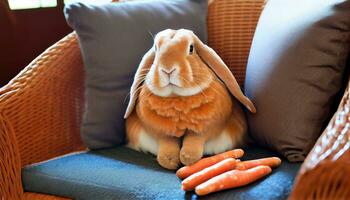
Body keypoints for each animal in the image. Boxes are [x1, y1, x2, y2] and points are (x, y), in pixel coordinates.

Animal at [124, 28, 256, 170]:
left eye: (191, 48)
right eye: (156, 48)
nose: (167, 69)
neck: (176, 97)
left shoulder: (206, 129)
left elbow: (194, 140)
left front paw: (188, 158)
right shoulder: (162, 132)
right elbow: (167, 142)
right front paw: (169, 161)